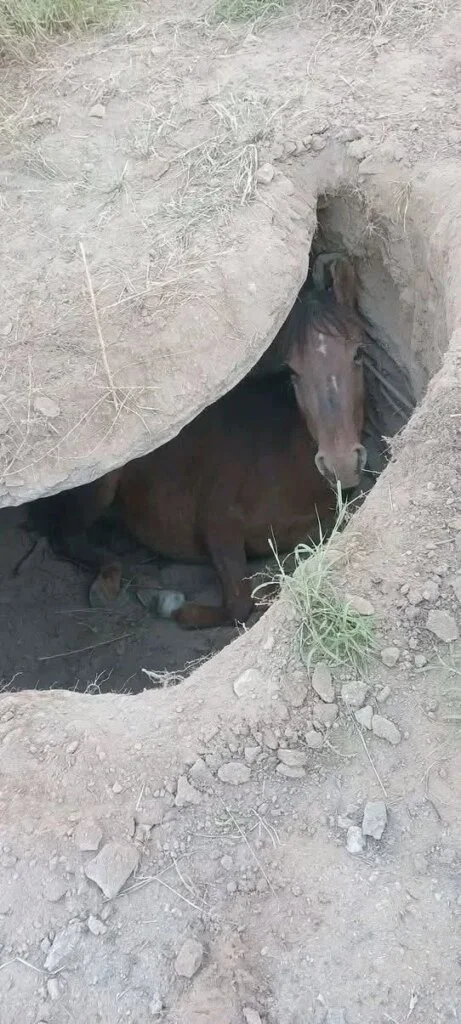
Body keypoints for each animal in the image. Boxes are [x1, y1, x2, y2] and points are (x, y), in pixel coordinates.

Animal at [32, 255, 367, 629]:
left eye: (358, 354)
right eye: (293, 371)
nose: (340, 464)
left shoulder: (315, 533)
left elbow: (275, 583)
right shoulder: (218, 525)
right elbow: (239, 602)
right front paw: (168, 604)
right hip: (101, 486)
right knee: (66, 537)